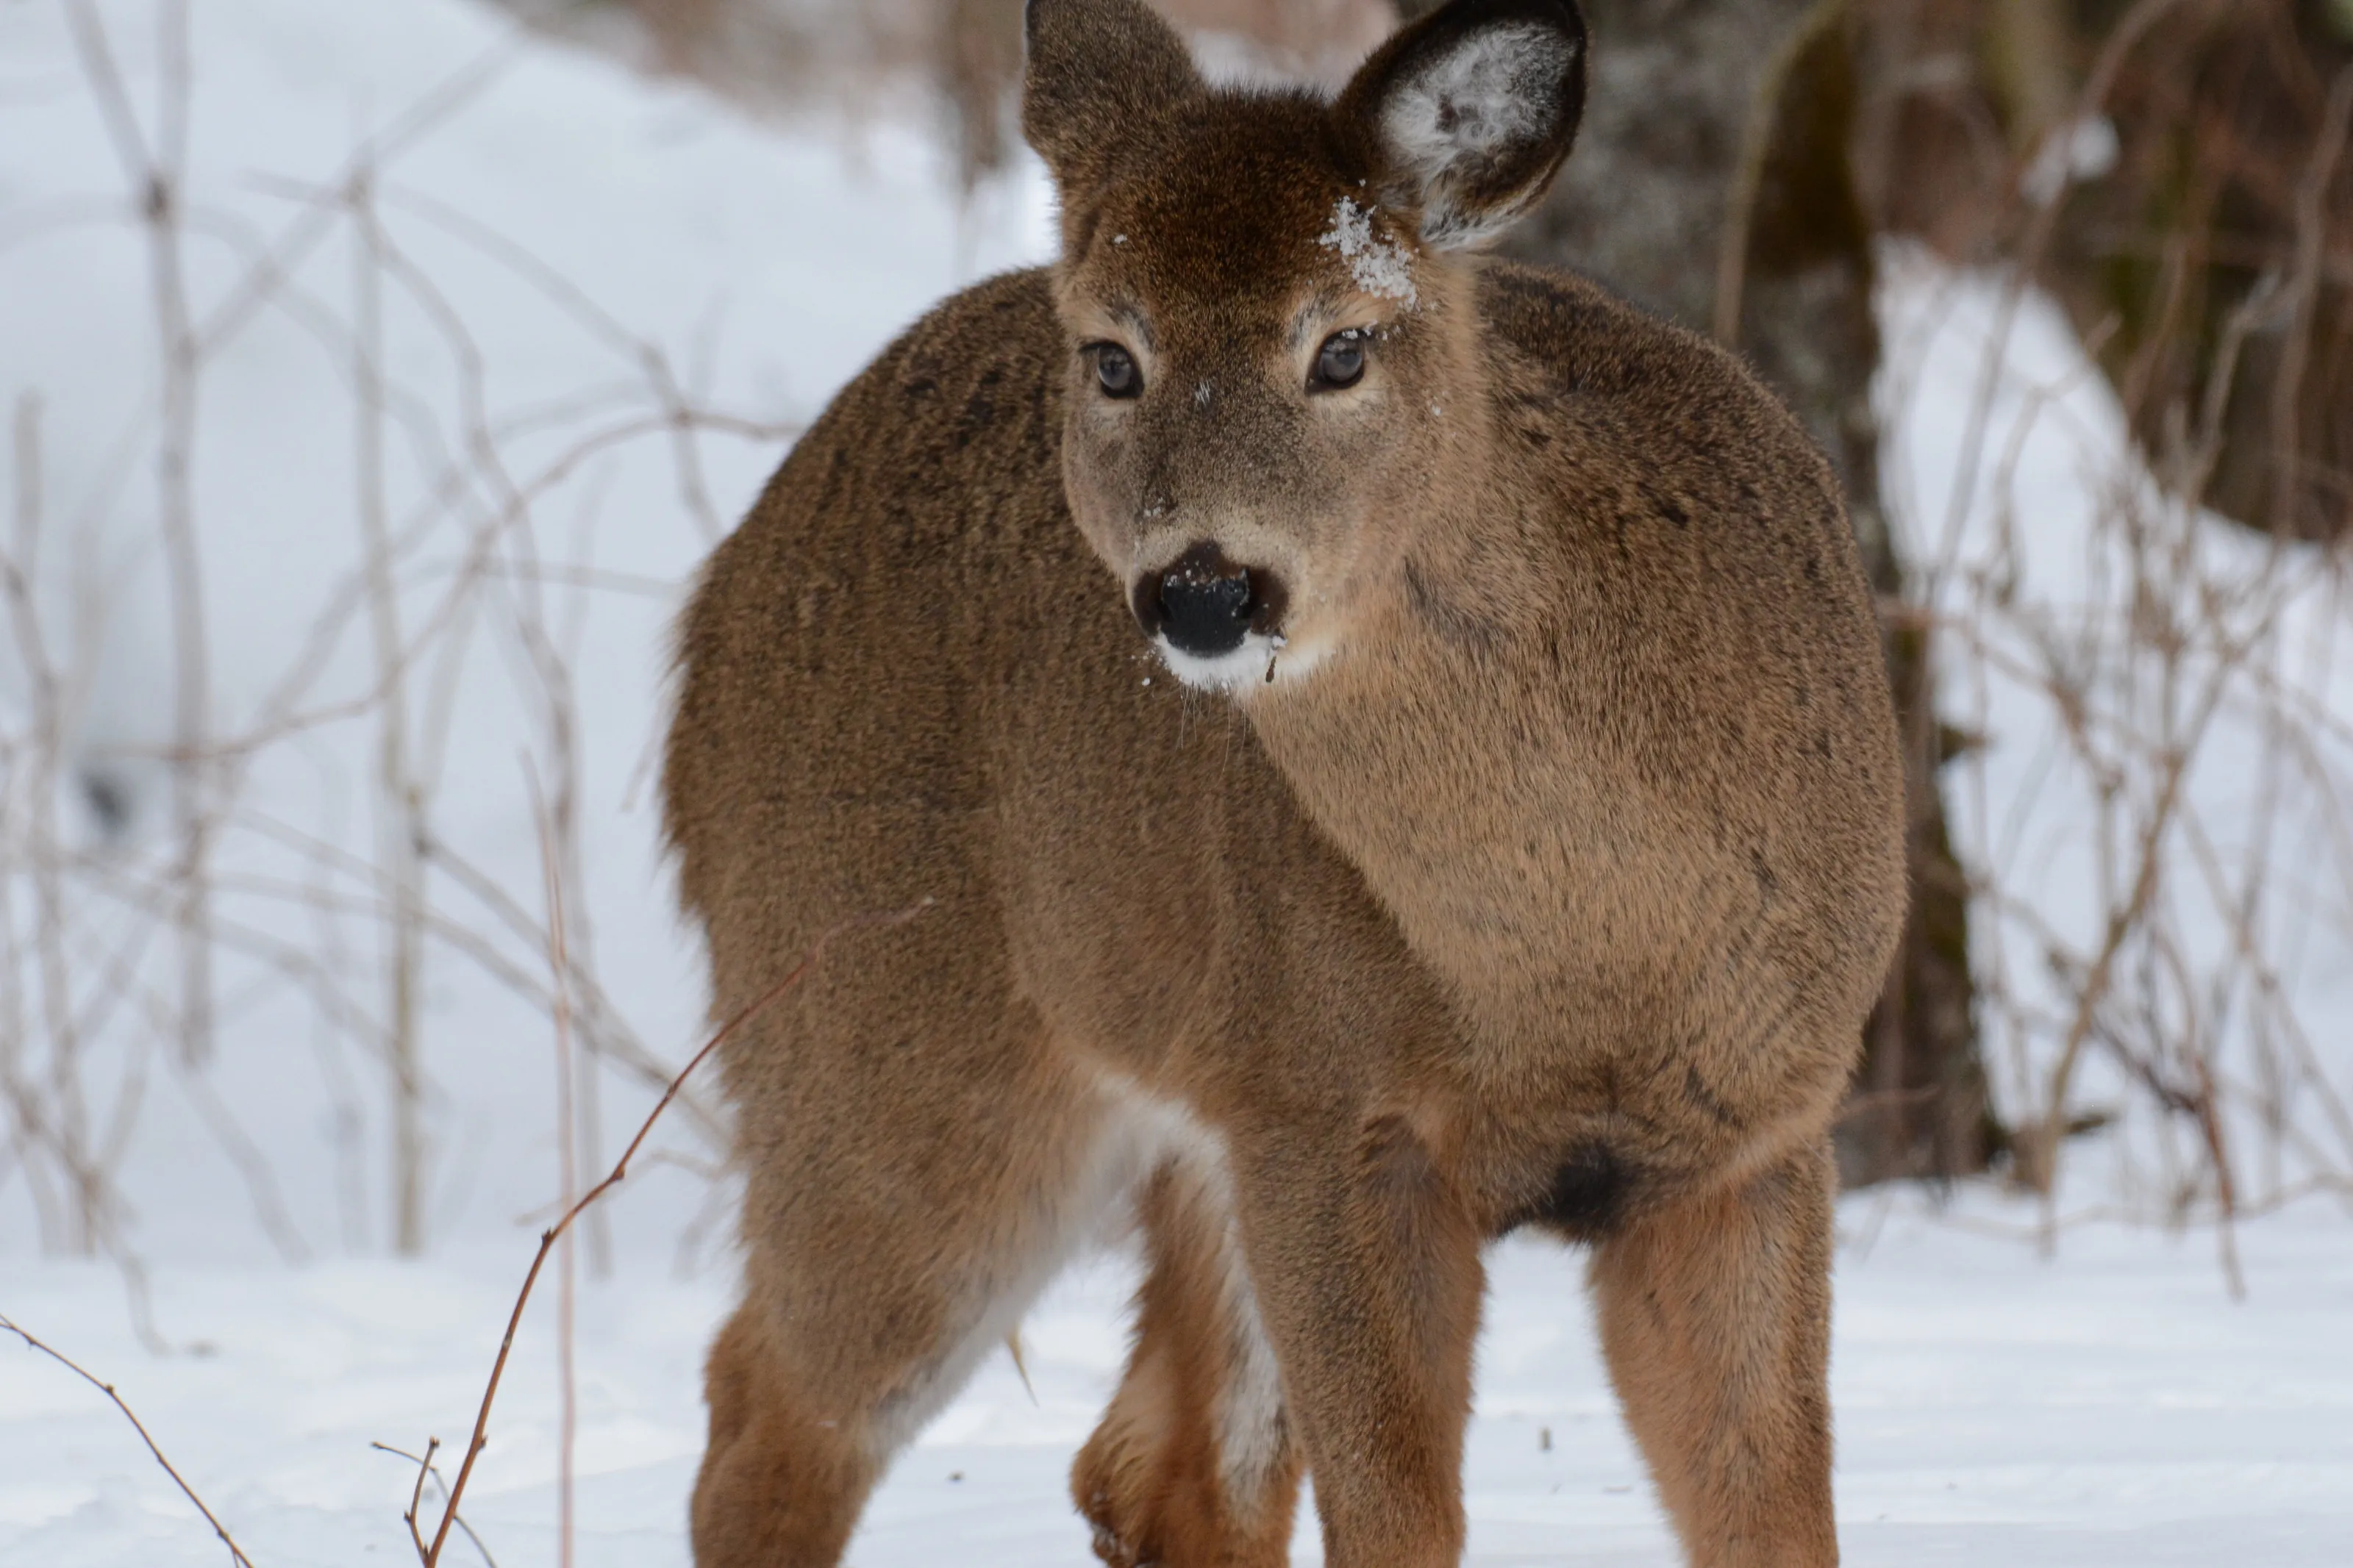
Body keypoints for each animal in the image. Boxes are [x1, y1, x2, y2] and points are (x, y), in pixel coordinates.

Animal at [660, 0, 1907, 1563]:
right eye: (1112, 355)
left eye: (1344, 346)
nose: (1204, 588)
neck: (1585, 965)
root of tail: (713, 612)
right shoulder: (1333, 1119)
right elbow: (1399, 1515)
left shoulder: (1758, 1136)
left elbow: (1771, 1509)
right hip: (874, 1037)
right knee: (771, 1410)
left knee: (1152, 1467)